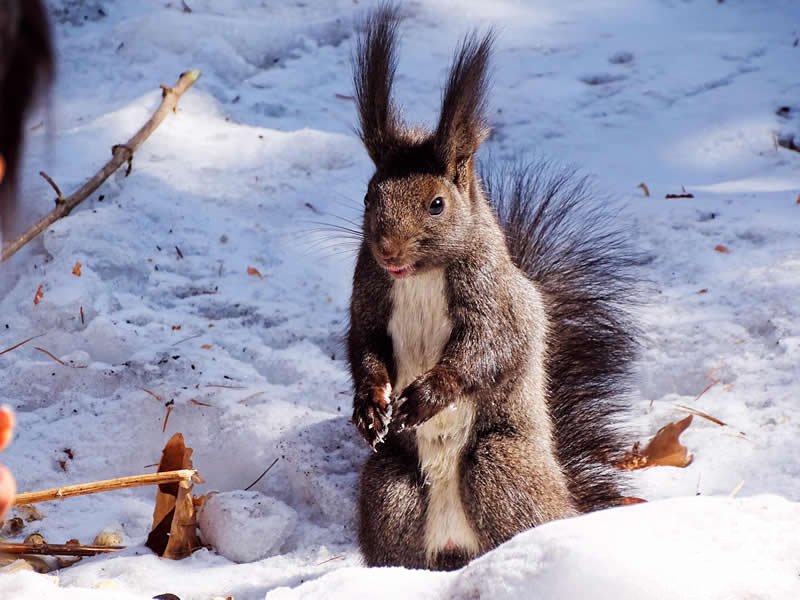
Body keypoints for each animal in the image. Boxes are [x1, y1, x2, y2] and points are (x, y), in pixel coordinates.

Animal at [346, 5, 640, 572]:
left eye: (437, 204)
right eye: (369, 196)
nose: (388, 251)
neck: (420, 275)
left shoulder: (494, 296)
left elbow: (489, 347)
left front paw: (429, 395)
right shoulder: (368, 292)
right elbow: (364, 345)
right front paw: (370, 404)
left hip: (498, 467)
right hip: (390, 488)